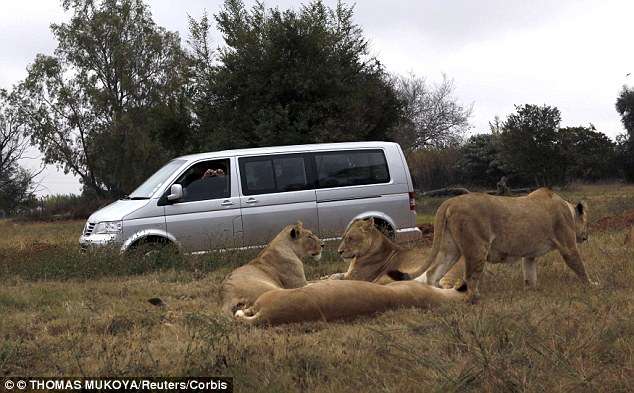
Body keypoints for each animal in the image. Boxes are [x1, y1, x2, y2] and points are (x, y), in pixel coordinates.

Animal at [326, 216, 464, 286]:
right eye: (343, 237)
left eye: (351, 238)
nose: (339, 251)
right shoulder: (348, 273)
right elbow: (335, 274)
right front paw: (330, 275)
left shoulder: (355, 277)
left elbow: (333, 280)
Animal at [388, 187, 596, 304]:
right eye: (587, 223)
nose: (586, 237)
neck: (567, 209)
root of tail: (450, 202)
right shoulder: (567, 245)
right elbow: (580, 266)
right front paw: (592, 285)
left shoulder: (529, 255)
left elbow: (530, 275)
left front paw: (532, 292)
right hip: (477, 248)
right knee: (470, 279)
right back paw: (475, 299)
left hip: (450, 249)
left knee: (433, 273)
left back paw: (439, 294)